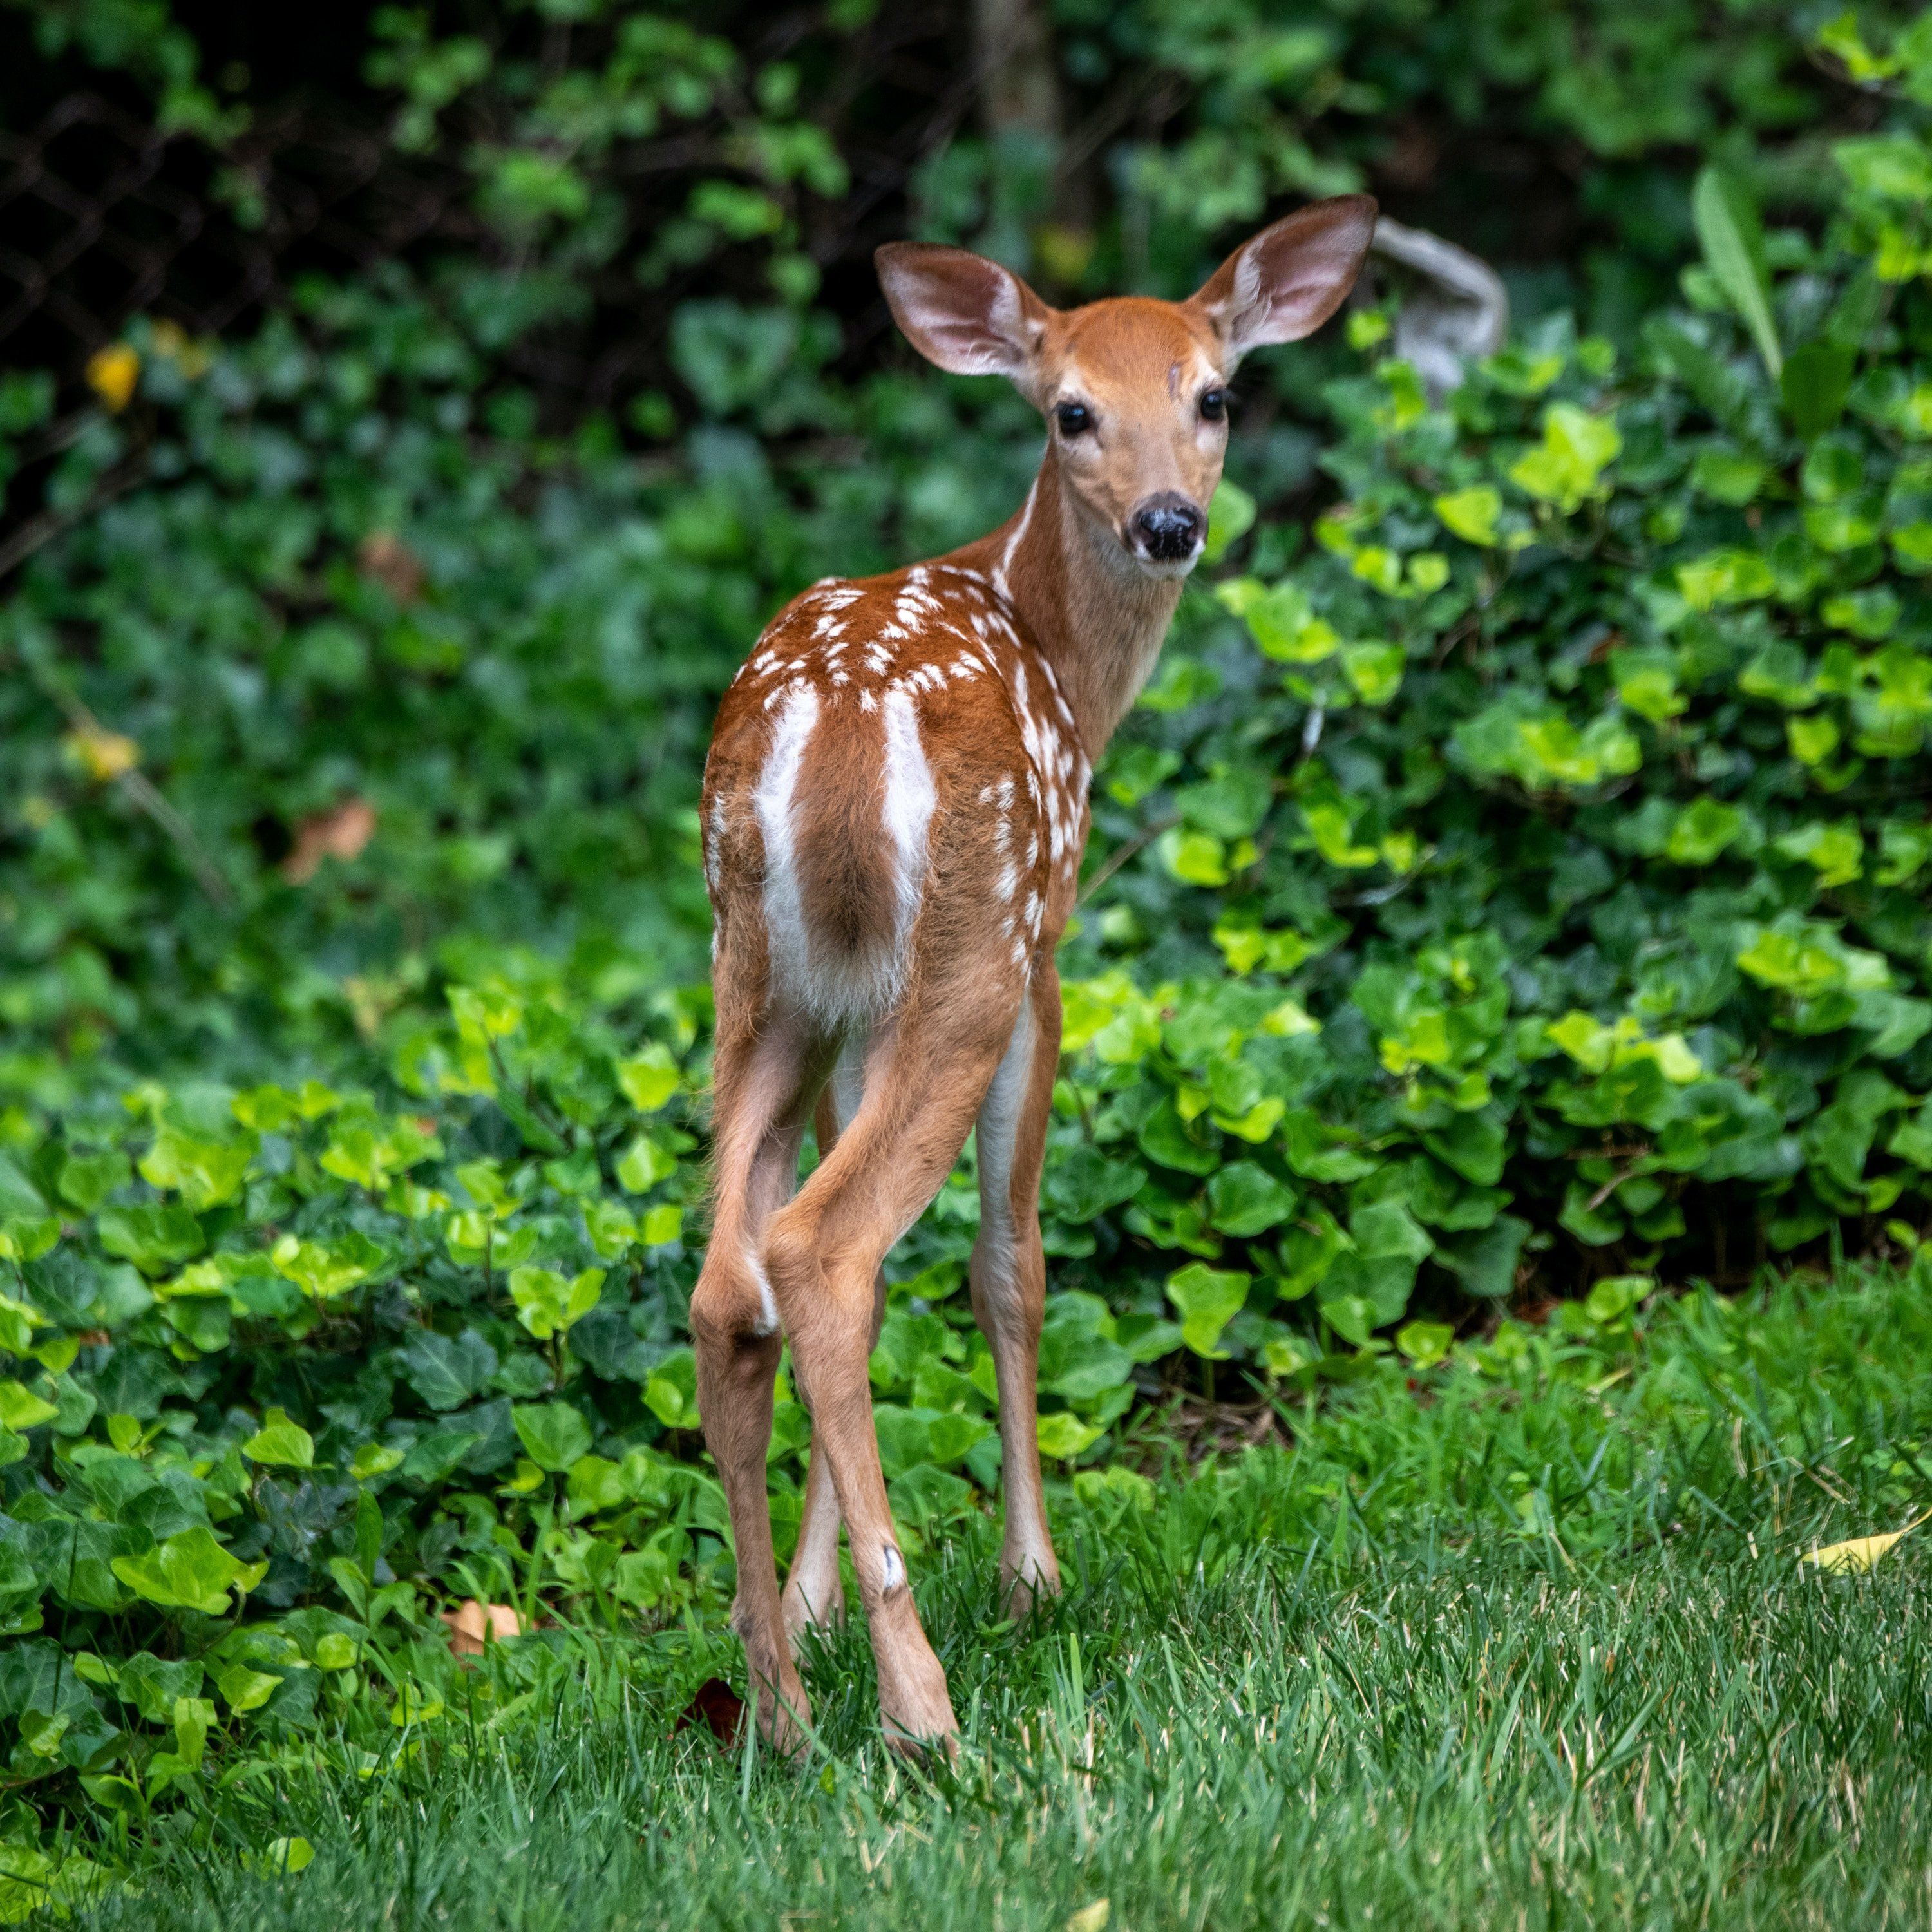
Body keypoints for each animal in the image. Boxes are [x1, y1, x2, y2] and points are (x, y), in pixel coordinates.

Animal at [692, 192, 1376, 1754]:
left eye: (1214, 395)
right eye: (1072, 411)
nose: (1170, 522)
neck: (1057, 650)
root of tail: (830, 730)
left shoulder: (848, 1011)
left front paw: (812, 1606)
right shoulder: (1048, 946)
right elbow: (1012, 1263)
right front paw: (1031, 1577)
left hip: (757, 980)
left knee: (733, 1279)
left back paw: (779, 1702)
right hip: (972, 954)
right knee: (824, 1253)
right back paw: (922, 1706)